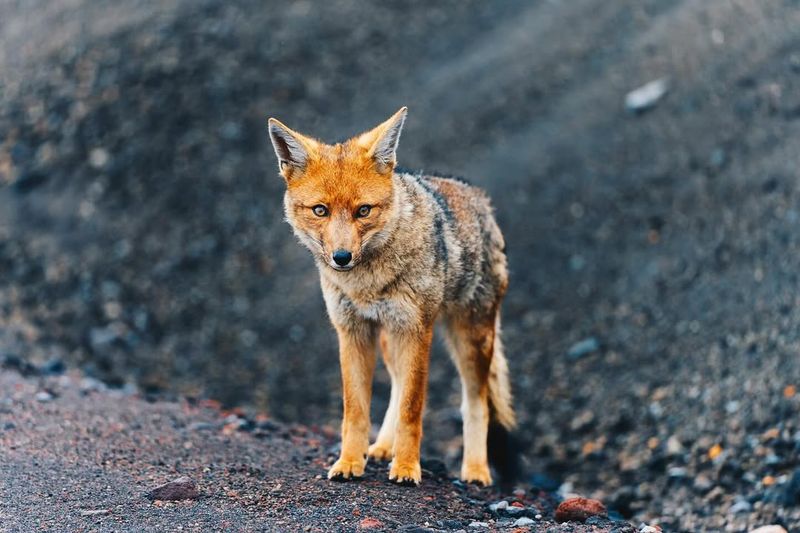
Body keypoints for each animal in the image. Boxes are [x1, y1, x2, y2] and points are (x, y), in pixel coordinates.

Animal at [268, 106, 516, 484]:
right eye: (320, 210)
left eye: (363, 210)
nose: (342, 257)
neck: (368, 284)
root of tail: (480, 199)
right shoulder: (352, 331)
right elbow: (356, 410)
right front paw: (349, 462)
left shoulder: (417, 330)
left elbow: (412, 409)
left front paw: (407, 467)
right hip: (390, 338)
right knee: (398, 386)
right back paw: (384, 447)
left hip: (471, 339)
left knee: (475, 402)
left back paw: (475, 470)